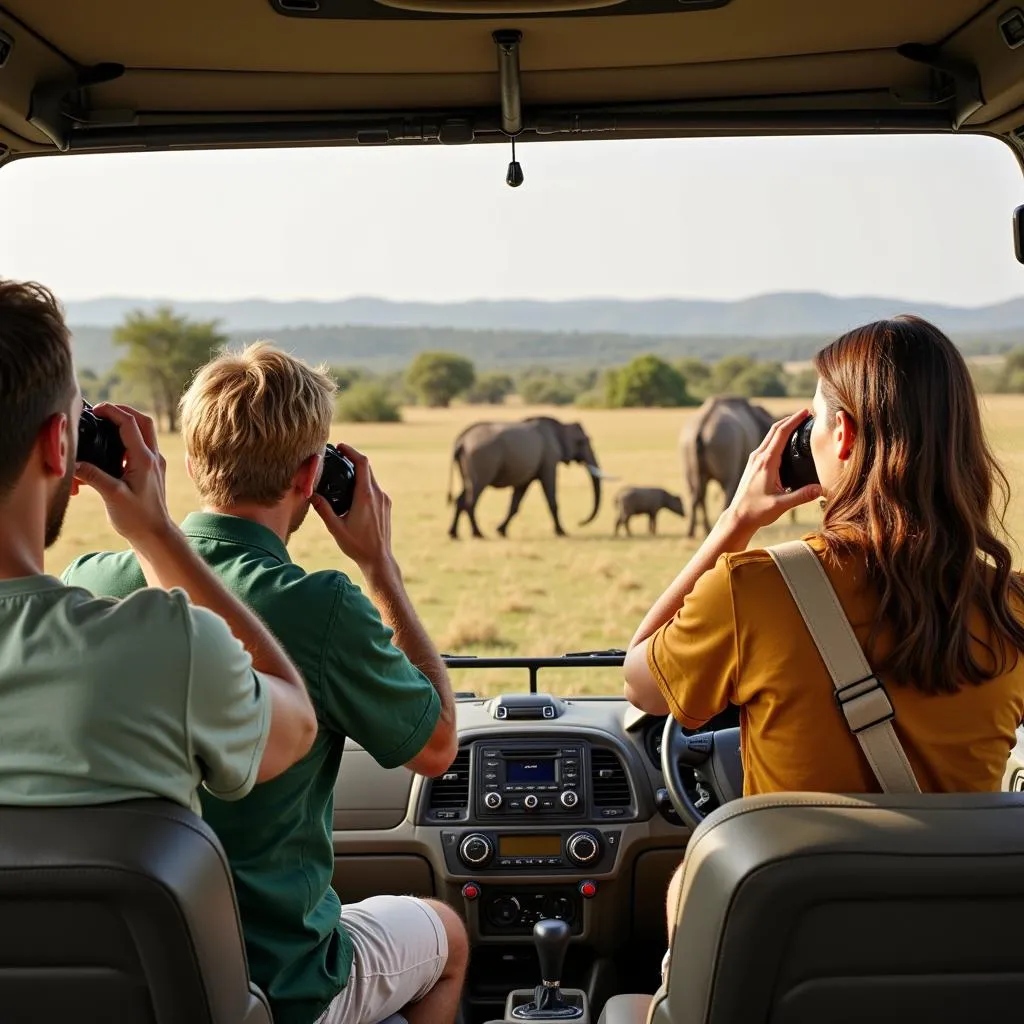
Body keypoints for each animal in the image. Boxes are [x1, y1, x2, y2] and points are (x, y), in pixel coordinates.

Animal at [446, 417, 598, 544]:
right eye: (582, 441)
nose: (580, 522)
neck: (560, 426)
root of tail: (462, 440)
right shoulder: (549, 458)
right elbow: (551, 495)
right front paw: (562, 533)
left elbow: (516, 501)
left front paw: (501, 531)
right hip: (481, 460)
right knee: (471, 499)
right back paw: (478, 534)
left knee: (461, 497)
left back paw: (454, 535)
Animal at [679, 391, 774, 536]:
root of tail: (702, 425)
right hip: (725, 446)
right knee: (726, 486)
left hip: (687, 449)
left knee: (696, 492)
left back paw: (695, 532)